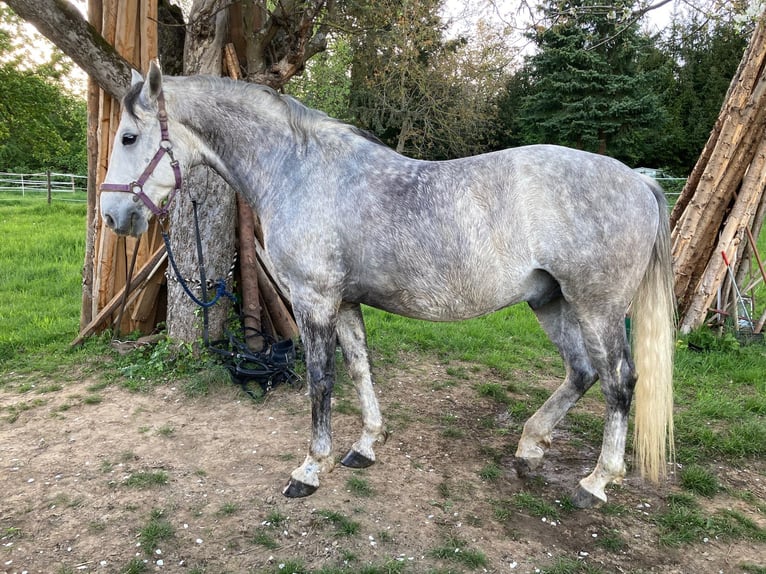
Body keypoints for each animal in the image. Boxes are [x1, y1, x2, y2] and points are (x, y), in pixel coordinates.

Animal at [99, 63, 676, 510]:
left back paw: (596, 483)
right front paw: (365, 447)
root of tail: (638, 180)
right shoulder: (345, 303)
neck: (297, 169)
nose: (111, 215)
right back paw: (530, 446)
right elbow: (360, 369)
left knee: (619, 382)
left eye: (129, 137)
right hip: (550, 300)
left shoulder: (314, 301)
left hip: (597, 307)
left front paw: (311, 469)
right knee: (581, 372)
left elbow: (321, 381)